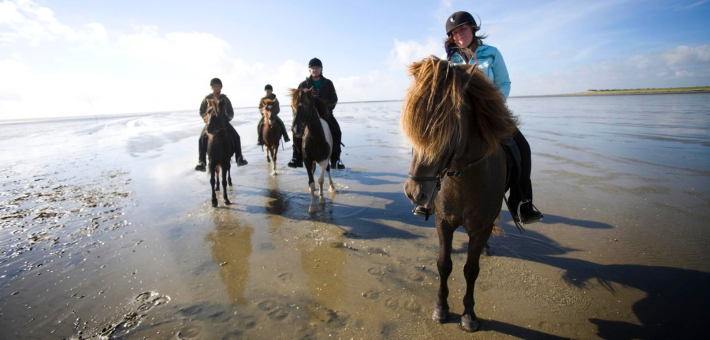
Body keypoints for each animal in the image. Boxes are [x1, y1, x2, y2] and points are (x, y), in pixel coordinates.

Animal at [404, 56, 520, 332]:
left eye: (449, 129)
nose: (414, 193)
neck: (464, 180)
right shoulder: (443, 222)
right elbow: (444, 265)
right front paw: (441, 308)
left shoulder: (480, 227)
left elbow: (470, 270)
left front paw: (468, 315)